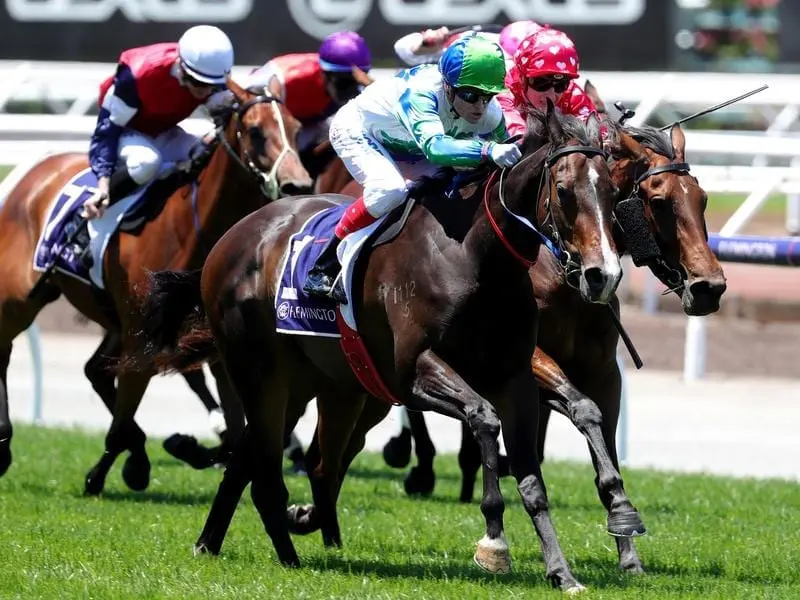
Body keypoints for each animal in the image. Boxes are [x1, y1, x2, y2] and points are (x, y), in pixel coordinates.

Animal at [0, 78, 312, 492]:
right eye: (257, 131)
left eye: (295, 128)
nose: (298, 184)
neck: (190, 228)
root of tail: (36, 171)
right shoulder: (144, 331)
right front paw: (117, 468)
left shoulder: (209, 339)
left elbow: (233, 430)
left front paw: (179, 448)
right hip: (21, 299)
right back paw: (4, 442)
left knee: (96, 370)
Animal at [130, 106, 620, 592]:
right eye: (563, 190)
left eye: (613, 191)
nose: (603, 275)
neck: (474, 258)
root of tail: (227, 241)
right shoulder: (414, 372)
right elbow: (482, 417)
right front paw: (494, 542)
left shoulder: (514, 376)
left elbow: (533, 482)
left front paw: (562, 572)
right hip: (259, 374)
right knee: (269, 472)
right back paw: (287, 555)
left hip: (308, 385)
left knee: (258, 462)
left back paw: (213, 542)